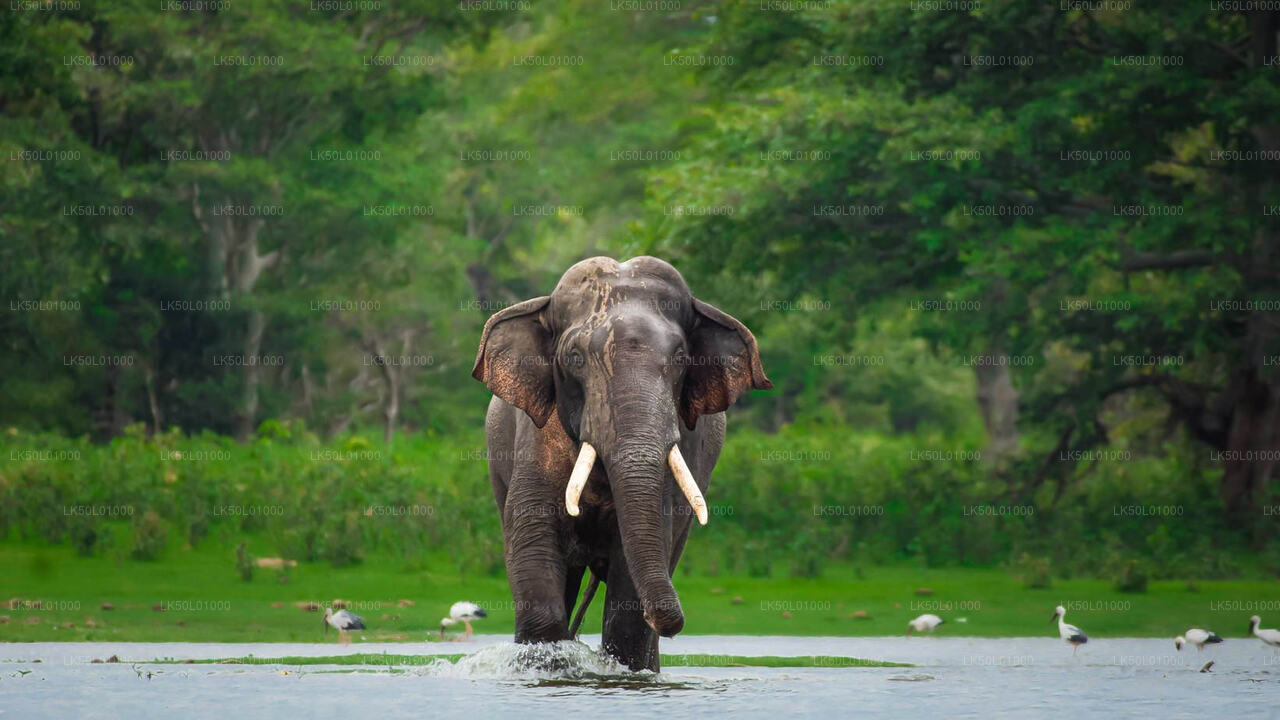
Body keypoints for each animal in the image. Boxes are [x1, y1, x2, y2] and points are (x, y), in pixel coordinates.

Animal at [472, 256, 771, 671]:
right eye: (575, 357)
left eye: (681, 358)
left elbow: (629, 598)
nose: (675, 623)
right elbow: (533, 543)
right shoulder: (535, 440)